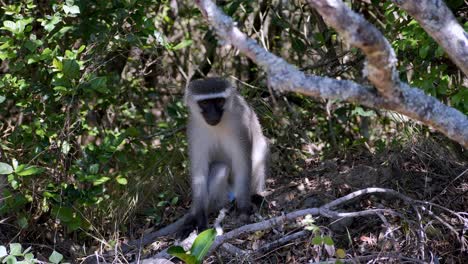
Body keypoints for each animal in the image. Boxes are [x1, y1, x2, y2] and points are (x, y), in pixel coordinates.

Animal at [180, 77, 268, 236]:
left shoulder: (240, 123)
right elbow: (199, 172)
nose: (213, 115)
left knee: (260, 149)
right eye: (205, 103)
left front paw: (244, 210)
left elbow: (243, 163)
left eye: (219, 101)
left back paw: (253, 197)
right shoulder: (194, 129)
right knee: (220, 168)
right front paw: (199, 218)